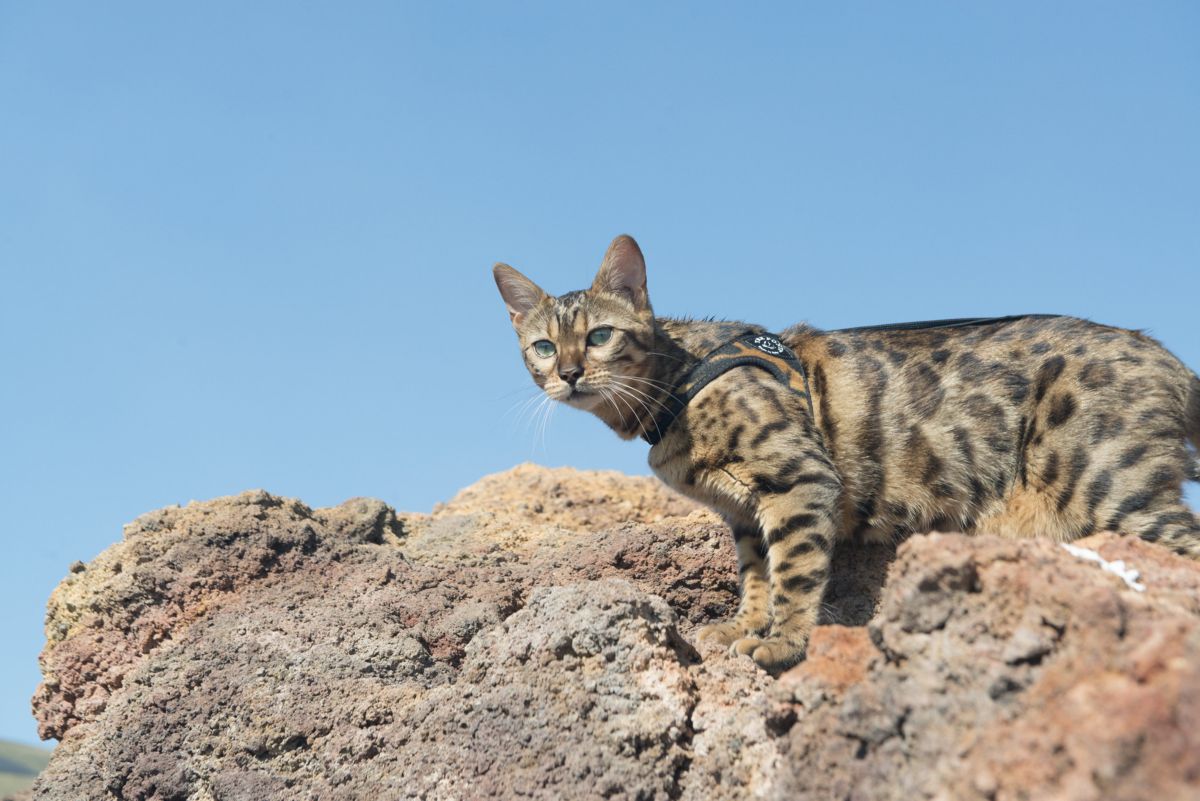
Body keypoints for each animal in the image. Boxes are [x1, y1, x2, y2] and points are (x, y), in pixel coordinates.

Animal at [489, 232, 1200, 671]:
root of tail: (1167, 356)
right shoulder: (744, 512)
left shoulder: (799, 479)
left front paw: (785, 642)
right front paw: (746, 627)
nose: (570, 373)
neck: (675, 389)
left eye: (600, 336)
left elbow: (795, 572)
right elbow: (756, 576)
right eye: (543, 347)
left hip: (1109, 487)